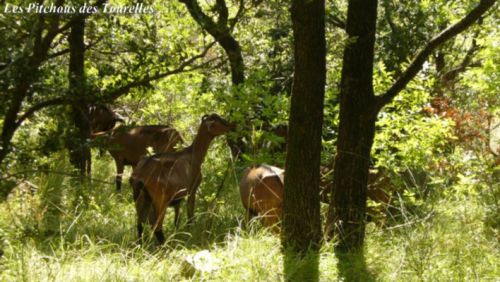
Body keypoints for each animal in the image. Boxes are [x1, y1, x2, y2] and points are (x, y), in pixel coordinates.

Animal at [130, 114, 233, 242]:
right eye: (217, 123)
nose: (232, 126)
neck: (193, 155)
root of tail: (139, 175)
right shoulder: (192, 190)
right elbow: (190, 216)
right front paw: (190, 233)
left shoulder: (177, 199)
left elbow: (176, 220)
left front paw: (178, 234)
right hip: (159, 201)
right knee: (157, 227)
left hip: (142, 199)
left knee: (140, 225)